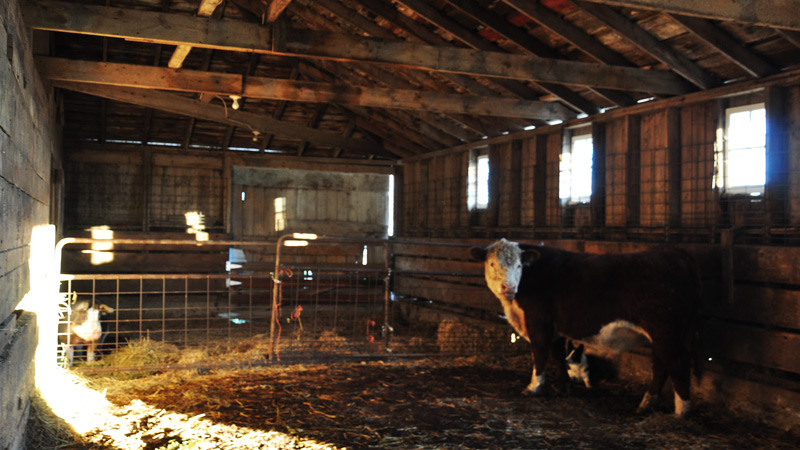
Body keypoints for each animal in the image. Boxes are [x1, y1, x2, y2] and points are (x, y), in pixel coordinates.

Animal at [471, 239, 700, 417]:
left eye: (519, 266)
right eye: (492, 263)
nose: (508, 287)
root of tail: (671, 253)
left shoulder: (538, 322)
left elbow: (540, 353)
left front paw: (534, 387)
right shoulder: (555, 326)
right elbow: (558, 355)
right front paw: (564, 387)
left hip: (666, 332)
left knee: (676, 363)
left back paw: (682, 411)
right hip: (666, 335)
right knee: (661, 365)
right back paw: (645, 404)